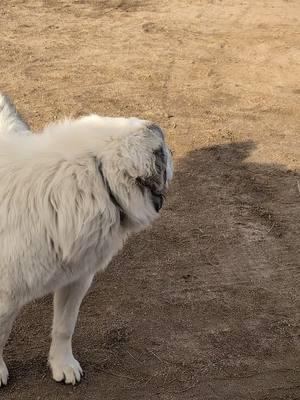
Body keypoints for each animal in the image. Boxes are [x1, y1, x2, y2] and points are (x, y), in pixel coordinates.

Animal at [0, 92, 172, 386]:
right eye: (163, 152)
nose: (171, 153)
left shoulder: (76, 278)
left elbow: (64, 327)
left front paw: (63, 364)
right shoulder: (6, 294)